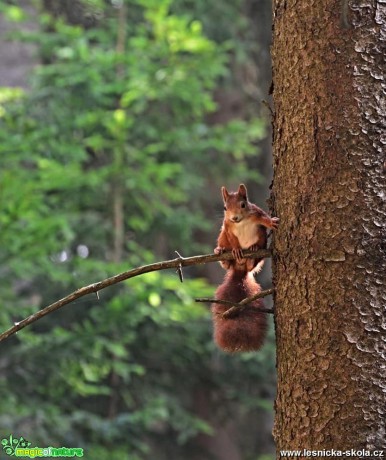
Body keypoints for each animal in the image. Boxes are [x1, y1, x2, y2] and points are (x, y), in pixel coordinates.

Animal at [213, 183, 278, 352]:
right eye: (225, 207)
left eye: (243, 205)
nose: (234, 218)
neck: (241, 222)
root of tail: (240, 269)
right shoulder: (228, 227)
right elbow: (233, 239)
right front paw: (236, 249)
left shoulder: (256, 213)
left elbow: (264, 219)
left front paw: (271, 222)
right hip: (222, 236)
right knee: (225, 250)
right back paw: (221, 253)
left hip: (262, 239)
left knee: (255, 259)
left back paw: (252, 254)